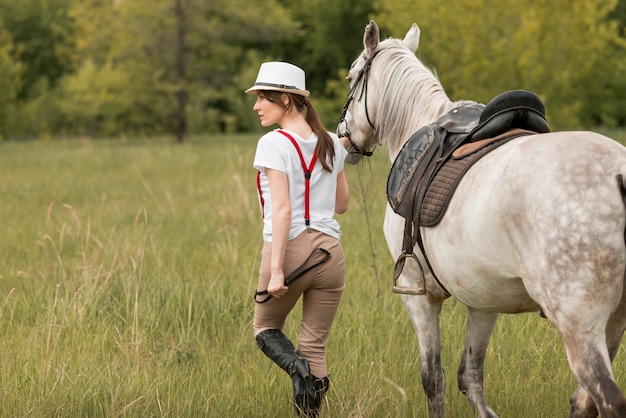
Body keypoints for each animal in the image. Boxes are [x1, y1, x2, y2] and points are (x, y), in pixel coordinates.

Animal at [338, 19, 624, 418]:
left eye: (351, 76)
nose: (342, 137)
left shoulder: (417, 293)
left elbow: (434, 379)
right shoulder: (482, 297)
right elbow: (469, 376)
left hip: (579, 323)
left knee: (604, 398)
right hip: (613, 322)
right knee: (584, 400)